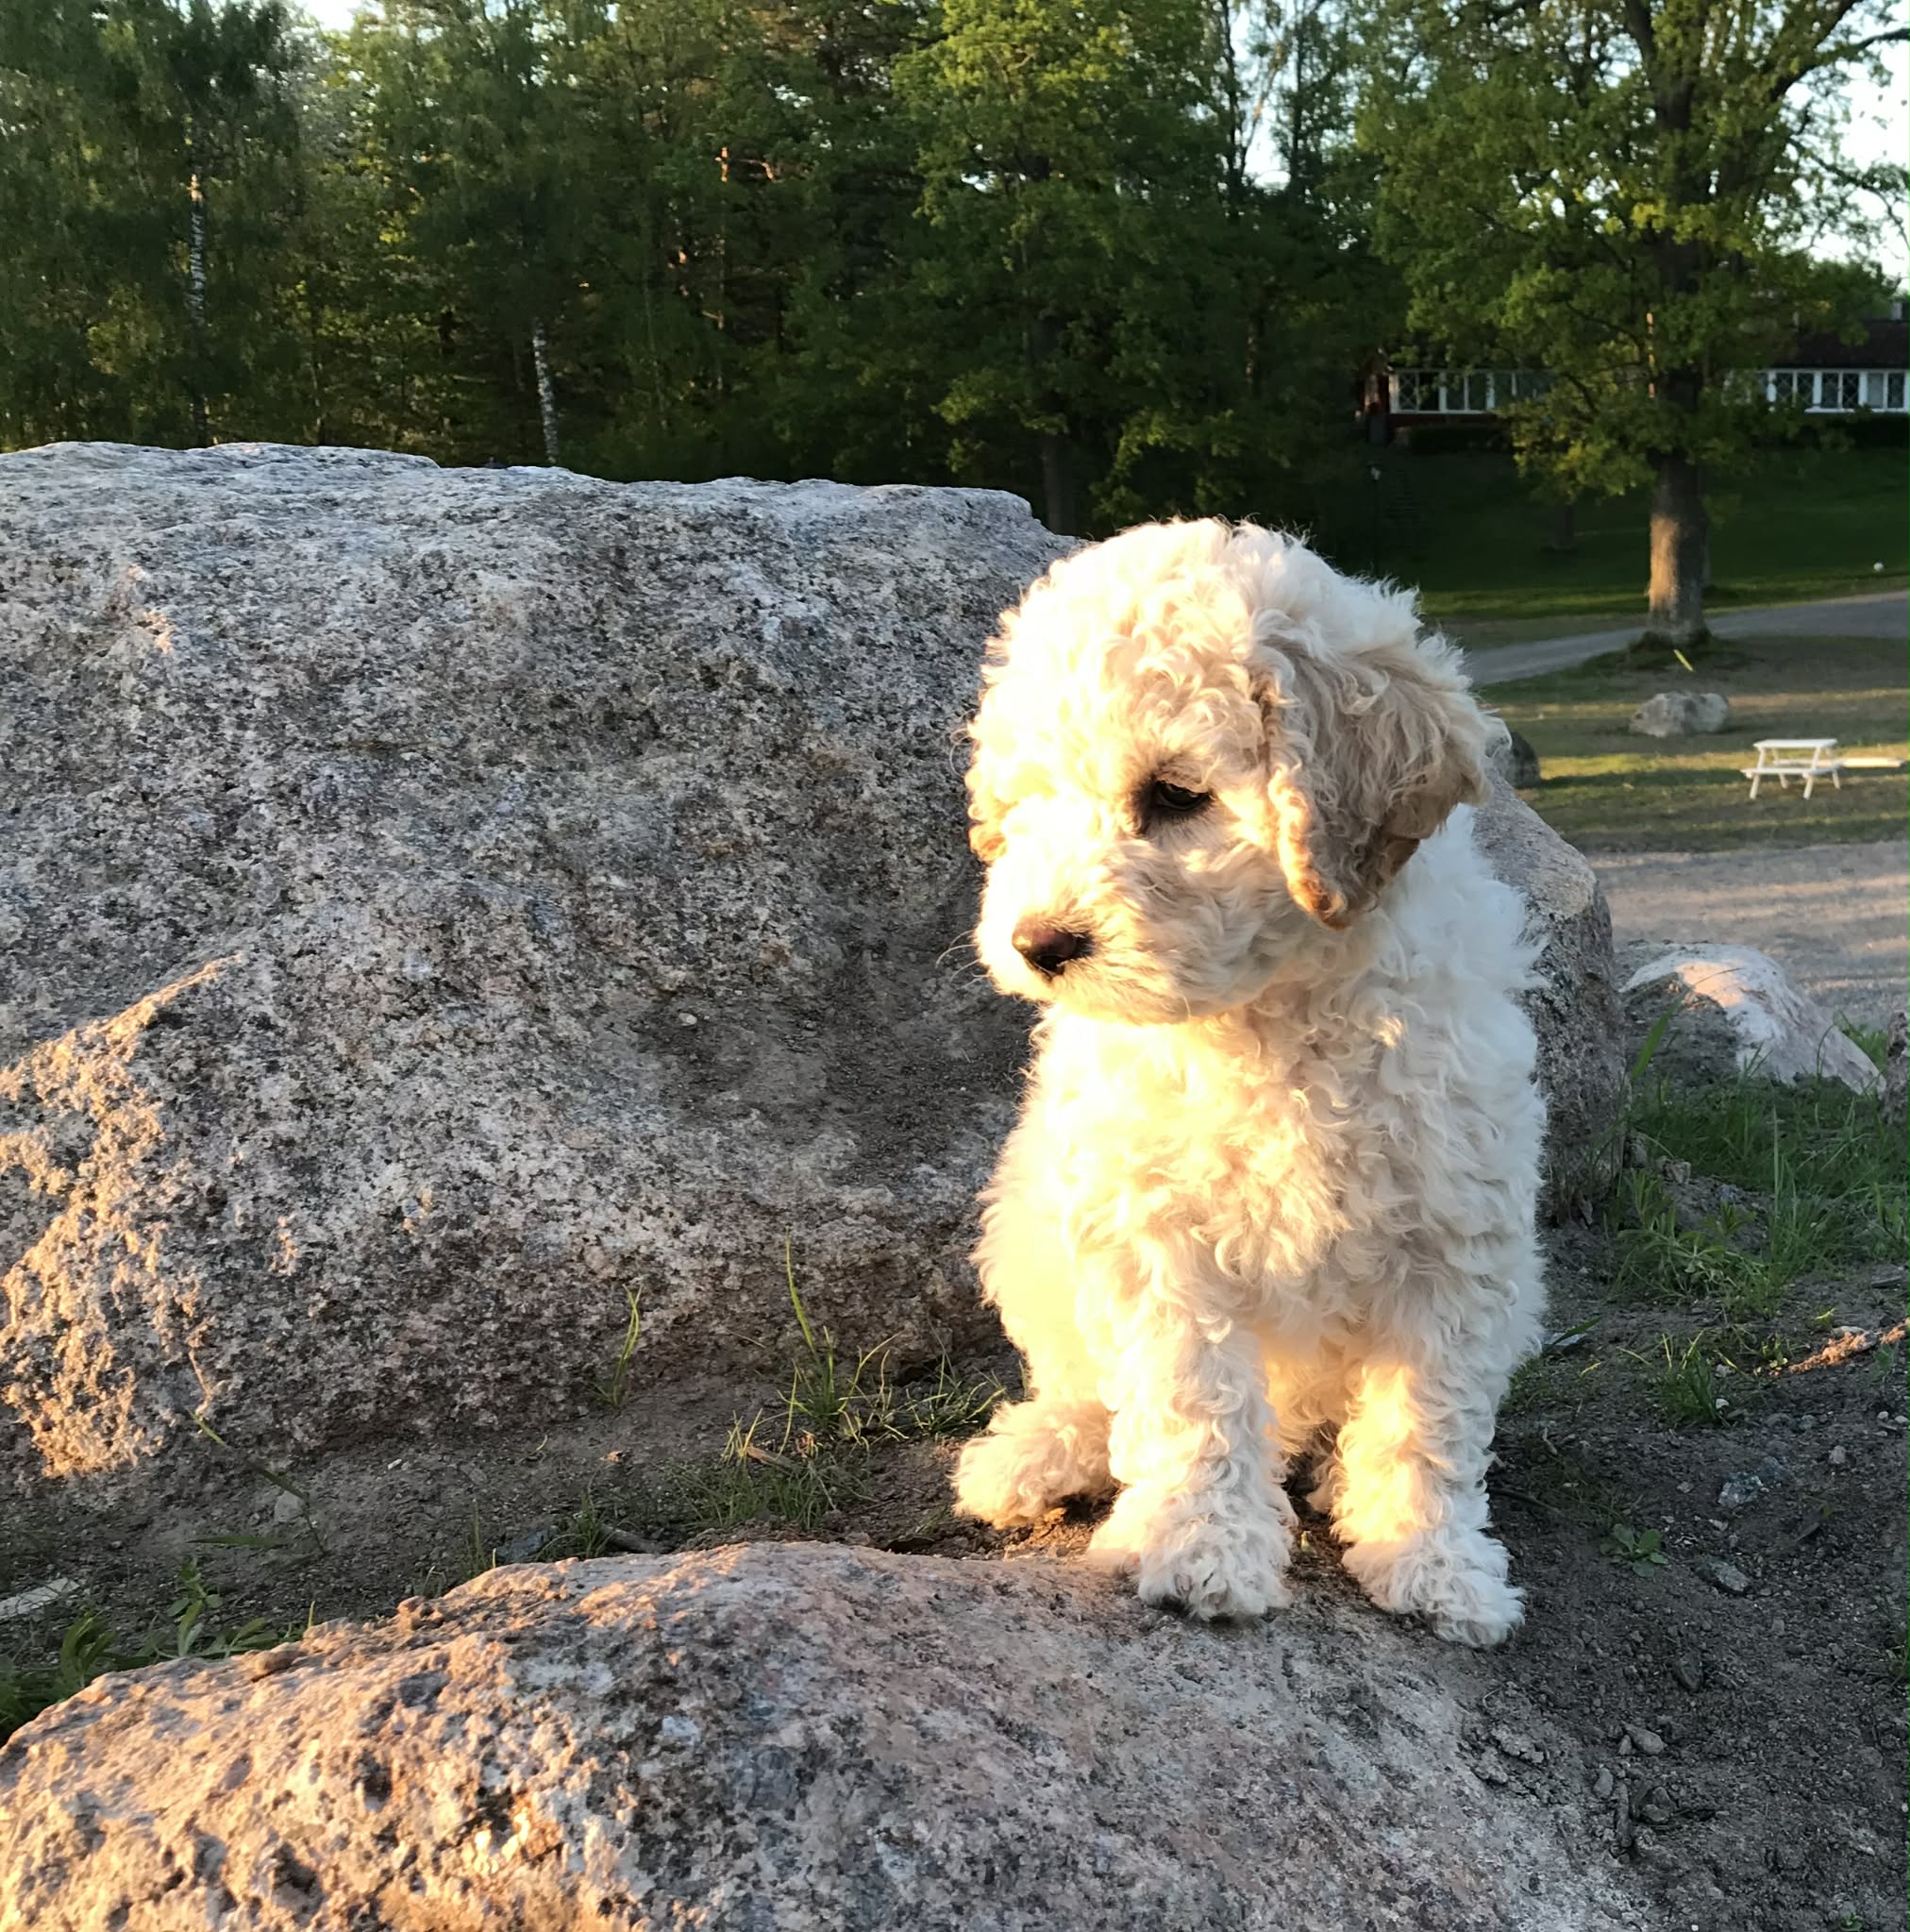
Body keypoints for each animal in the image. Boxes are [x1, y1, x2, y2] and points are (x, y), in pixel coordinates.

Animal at [952, 519, 1544, 1647]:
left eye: (1174, 796)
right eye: (1030, 803)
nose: (1037, 943)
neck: (1266, 1017)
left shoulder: (1455, 1233)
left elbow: (1426, 1418)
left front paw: (1433, 1562)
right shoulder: (1149, 1230)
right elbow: (1191, 1398)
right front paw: (1201, 1548)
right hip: (1025, 1224)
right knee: (1082, 1382)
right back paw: (1039, 1452)